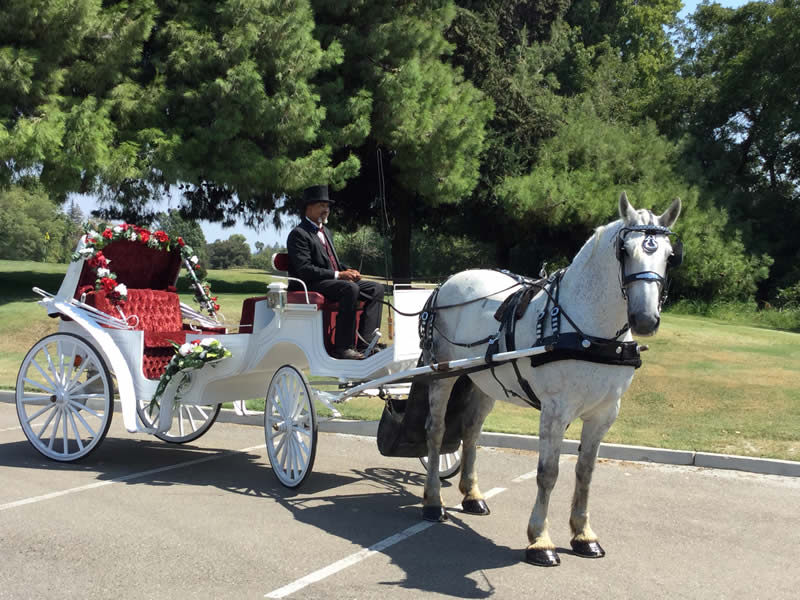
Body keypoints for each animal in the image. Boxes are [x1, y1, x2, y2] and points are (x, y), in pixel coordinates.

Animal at [418, 193, 680, 568]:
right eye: (624, 251)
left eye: (670, 255)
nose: (645, 320)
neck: (591, 332)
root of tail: (447, 282)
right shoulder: (555, 410)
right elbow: (548, 472)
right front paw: (540, 539)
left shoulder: (604, 413)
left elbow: (585, 472)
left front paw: (583, 534)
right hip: (443, 375)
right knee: (436, 433)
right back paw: (432, 501)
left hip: (485, 381)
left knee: (470, 431)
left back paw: (472, 494)